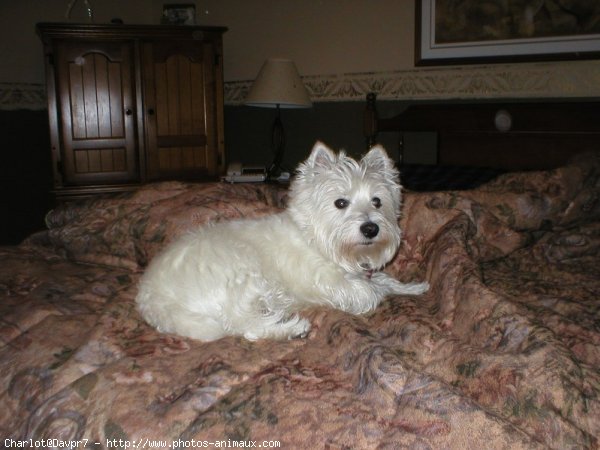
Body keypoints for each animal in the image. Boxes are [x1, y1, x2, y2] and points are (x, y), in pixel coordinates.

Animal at [136, 142, 426, 340]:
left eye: (377, 201)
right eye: (340, 203)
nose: (370, 228)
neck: (317, 241)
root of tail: (152, 299)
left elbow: (385, 280)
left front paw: (415, 287)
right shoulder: (329, 282)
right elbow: (371, 292)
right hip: (242, 276)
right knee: (245, 327)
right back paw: (294, 327)